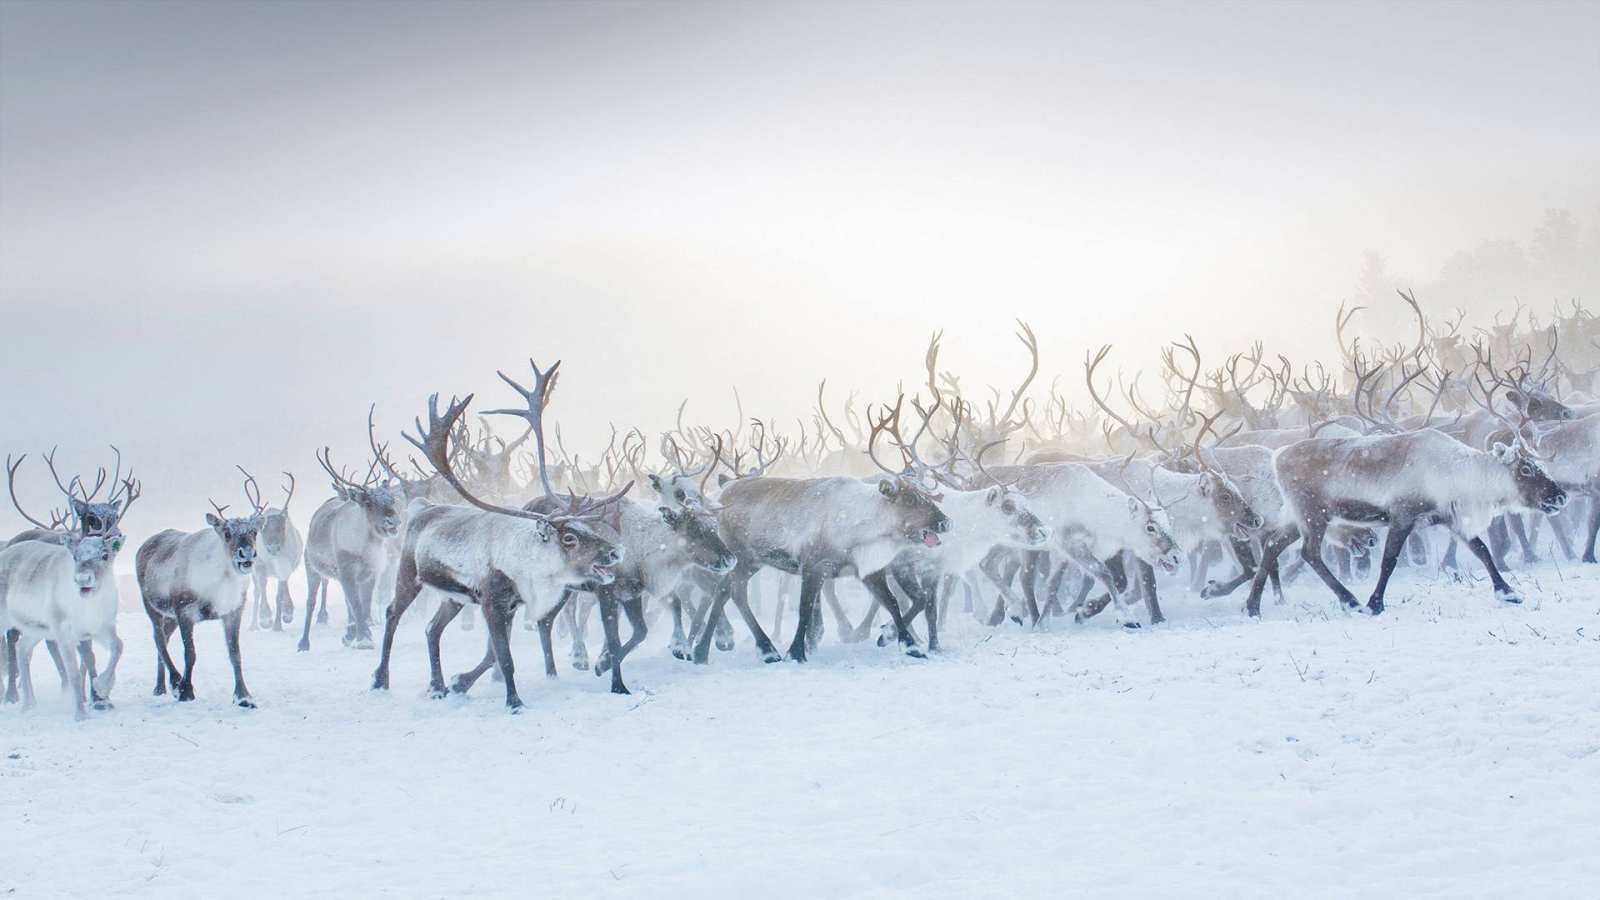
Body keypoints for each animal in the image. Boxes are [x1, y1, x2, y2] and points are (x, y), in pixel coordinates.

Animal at [136, 469, 267, 707]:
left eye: (254, 531)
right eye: (227, 533)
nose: (246, 554)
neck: (219, 585)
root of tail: (144, 545)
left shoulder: (233, 610)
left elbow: (235, 653)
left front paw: (243, 696)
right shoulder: (184, 610)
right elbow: (190, 653)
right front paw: (185, 690)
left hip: (170, 616)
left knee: (163, 639)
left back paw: (160, 687)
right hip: (151, 605)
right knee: (158, 639)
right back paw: (174, 682)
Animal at [370, 388, 626, 712]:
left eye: (586, 526)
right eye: (569, 537)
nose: (615, 552)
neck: (529, 567)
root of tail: (421, 509)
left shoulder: (511, 605)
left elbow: (495, 652)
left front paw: (459, 682)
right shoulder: (493, 602)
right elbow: (504, 657)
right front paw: (514, 702)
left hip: (454, 597)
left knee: (431, 629)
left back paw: (437, 687)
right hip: (408, 574)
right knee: (393, 613)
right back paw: (380, 680)